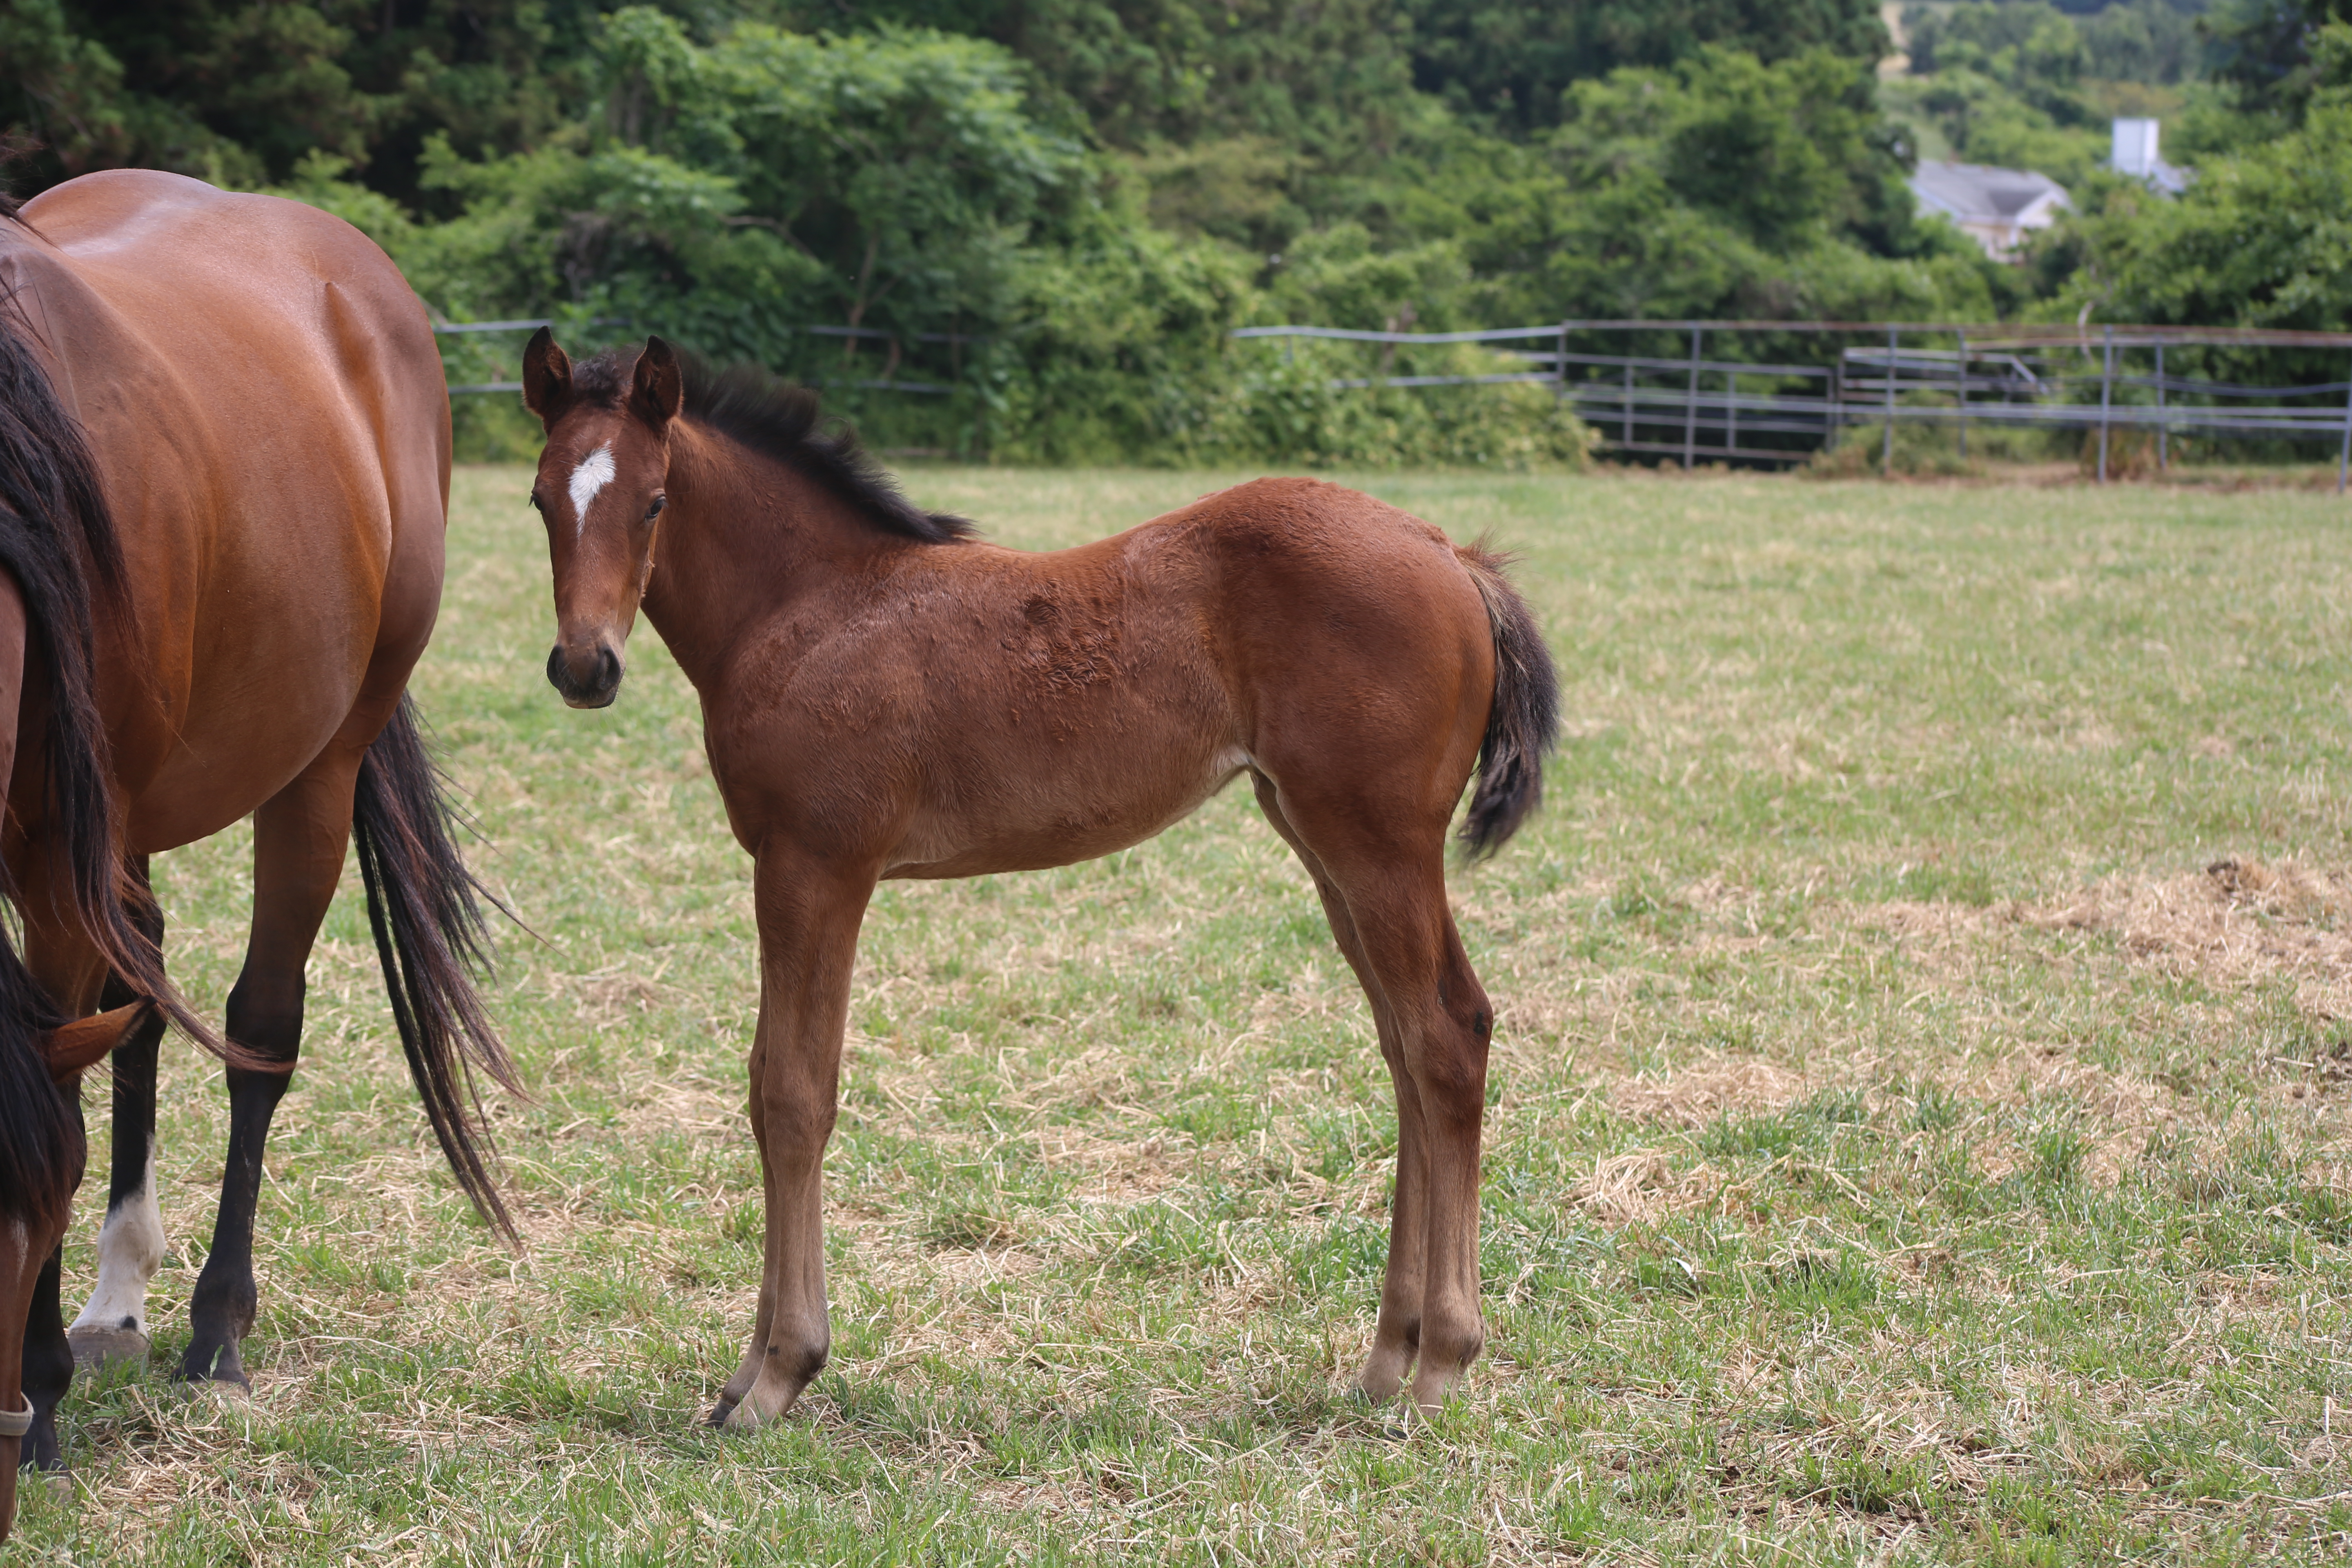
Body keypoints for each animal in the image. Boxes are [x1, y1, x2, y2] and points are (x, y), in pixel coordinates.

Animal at [0, 169, 517, 1532]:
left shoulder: (53, 861)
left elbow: (68, 1089)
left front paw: (44, 1407)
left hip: (316, 773)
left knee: (255, 1029)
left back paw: (214, 1333)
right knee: (141, 1002)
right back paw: (122, 1294)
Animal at [522, 329, 1552, 1420]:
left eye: (654, 502)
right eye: (541, 499)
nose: (584, 667)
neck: (807, 607)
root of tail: (1452, 555)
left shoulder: (817, 867)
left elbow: (797, 1097)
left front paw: (780, 1375)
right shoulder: (788, 869)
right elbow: (763, 1085)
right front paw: (740, 1374)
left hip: (1380, 846)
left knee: (1446, 1036)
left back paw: (1441, 1361)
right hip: (1322, 843)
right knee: (1403, 1047)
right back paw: (1386, 1354)